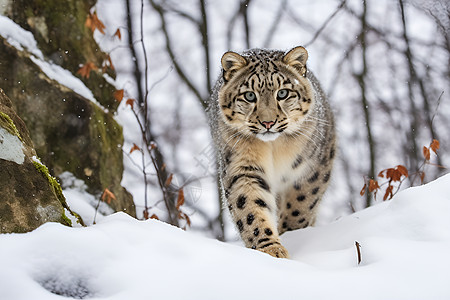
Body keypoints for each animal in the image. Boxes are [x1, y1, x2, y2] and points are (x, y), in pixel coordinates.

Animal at [207, 45, 334, 258]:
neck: (274, 150)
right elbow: (250, 208)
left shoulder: (313, 166)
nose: (268, 122)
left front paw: (292, 232)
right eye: (250, 95)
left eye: (282, 93)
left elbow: (301, 203)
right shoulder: (243, 168)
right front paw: (271, 249)